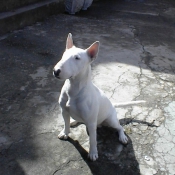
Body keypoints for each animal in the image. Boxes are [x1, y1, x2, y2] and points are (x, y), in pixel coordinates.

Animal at [53, 33, 145, 161]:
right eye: (64, 55)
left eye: (77, 58)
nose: (56, 71)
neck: (74, 88)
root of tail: (112, 105)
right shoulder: (64, 111)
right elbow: (66, 124)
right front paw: (65, 133)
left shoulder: (91, 122)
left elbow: (93, 139)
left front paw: (93, 153)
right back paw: (73, 121)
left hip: (110, 120)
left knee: (120, 127)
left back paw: (122, 137)